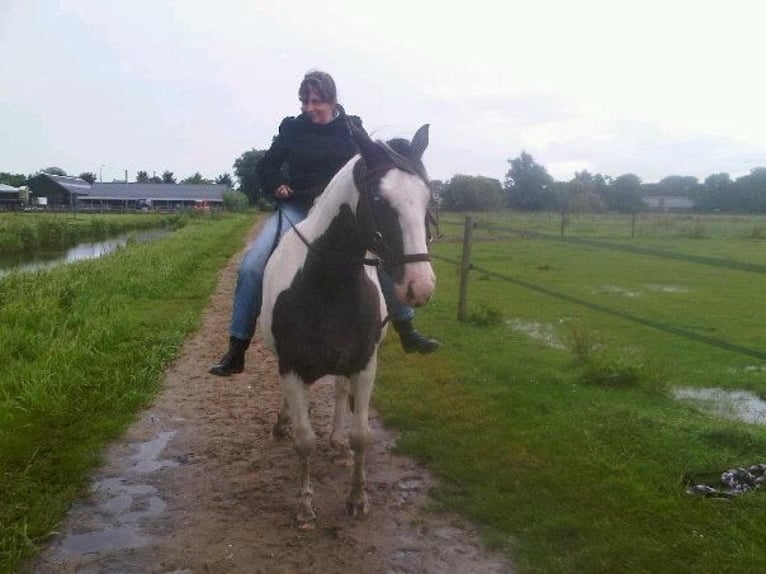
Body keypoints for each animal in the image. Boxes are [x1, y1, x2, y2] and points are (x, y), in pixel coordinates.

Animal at [259, 123, 436, 527]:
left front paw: (357, 498)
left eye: (428, 198)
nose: (420, 286)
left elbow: (362, 436)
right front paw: (305, 506)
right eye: (380, 199)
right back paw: (282, 423)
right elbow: (304, 439)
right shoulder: (290, 366)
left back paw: (336, 441)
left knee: (340, 393)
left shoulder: (364, 364)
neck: (328, 285)